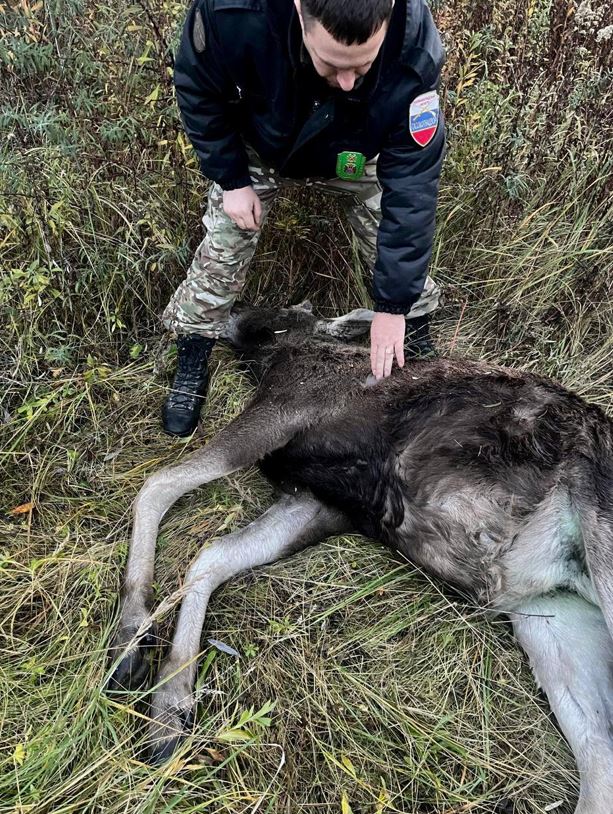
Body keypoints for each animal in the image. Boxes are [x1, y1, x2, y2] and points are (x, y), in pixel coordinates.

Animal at [109, 302, 612, 812]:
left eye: (281, 307)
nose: (231, 312)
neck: (283, 353)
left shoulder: (285, 408)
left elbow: (158, 486)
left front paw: (130, 642)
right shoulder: (316, 501)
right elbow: (210, 557)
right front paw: (169, 706)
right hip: (551, 614)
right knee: (600, 758)